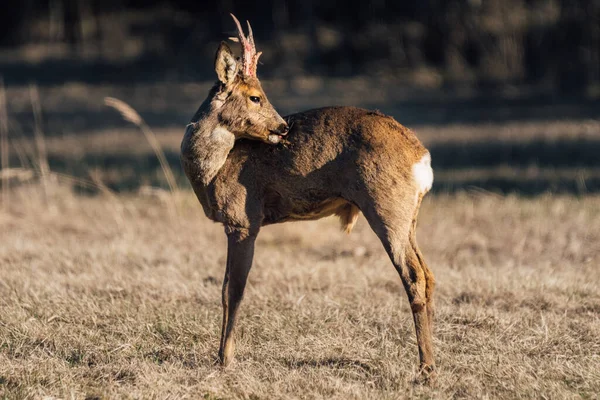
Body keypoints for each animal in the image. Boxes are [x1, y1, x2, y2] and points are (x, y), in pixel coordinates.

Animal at [179, 14, 436, 378]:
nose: (283, 127)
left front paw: (225, 359)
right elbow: (227, 288)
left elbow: (234, 290)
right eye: (255, 96)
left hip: (386, 208)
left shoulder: (243, 220)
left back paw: (426, 368)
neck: (213, 168)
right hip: (408, 215)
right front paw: (221, 356)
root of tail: (421, 157)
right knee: (428, 274)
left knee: (413, 275)